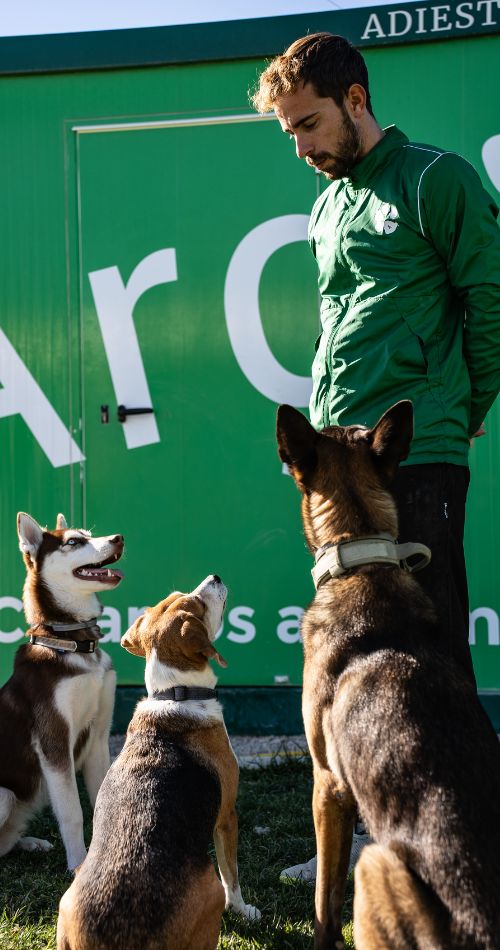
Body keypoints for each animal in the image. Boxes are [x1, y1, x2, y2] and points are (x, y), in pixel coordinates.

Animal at [0, 512, 124, 872]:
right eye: (73, 542)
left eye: (88, 534)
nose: (119, 538)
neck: (74, 644)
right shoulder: (53, 740)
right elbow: (72, 812)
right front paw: (79, 864)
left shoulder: (98, 736)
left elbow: (101, 801)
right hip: (4, 795)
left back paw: (30, 842)